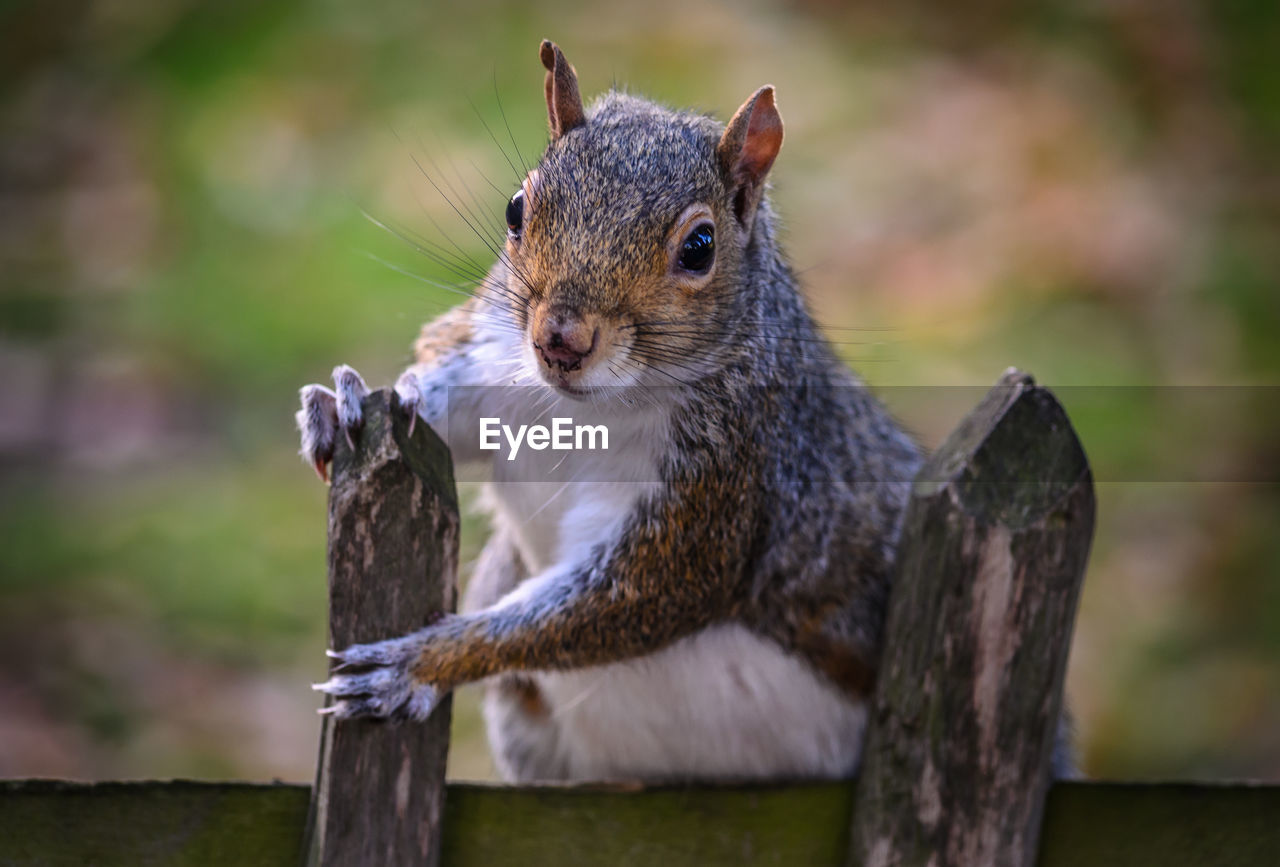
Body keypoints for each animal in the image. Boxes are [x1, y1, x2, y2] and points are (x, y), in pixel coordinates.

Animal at [295, 40, 931, 778]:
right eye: (516, 209)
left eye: (700, 248)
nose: (560, 340)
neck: (588, 405)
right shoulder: (493, 357)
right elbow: (442, 406)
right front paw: (340, 403)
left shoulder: (721, 479)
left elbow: (630, 594)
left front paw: (418, 664)